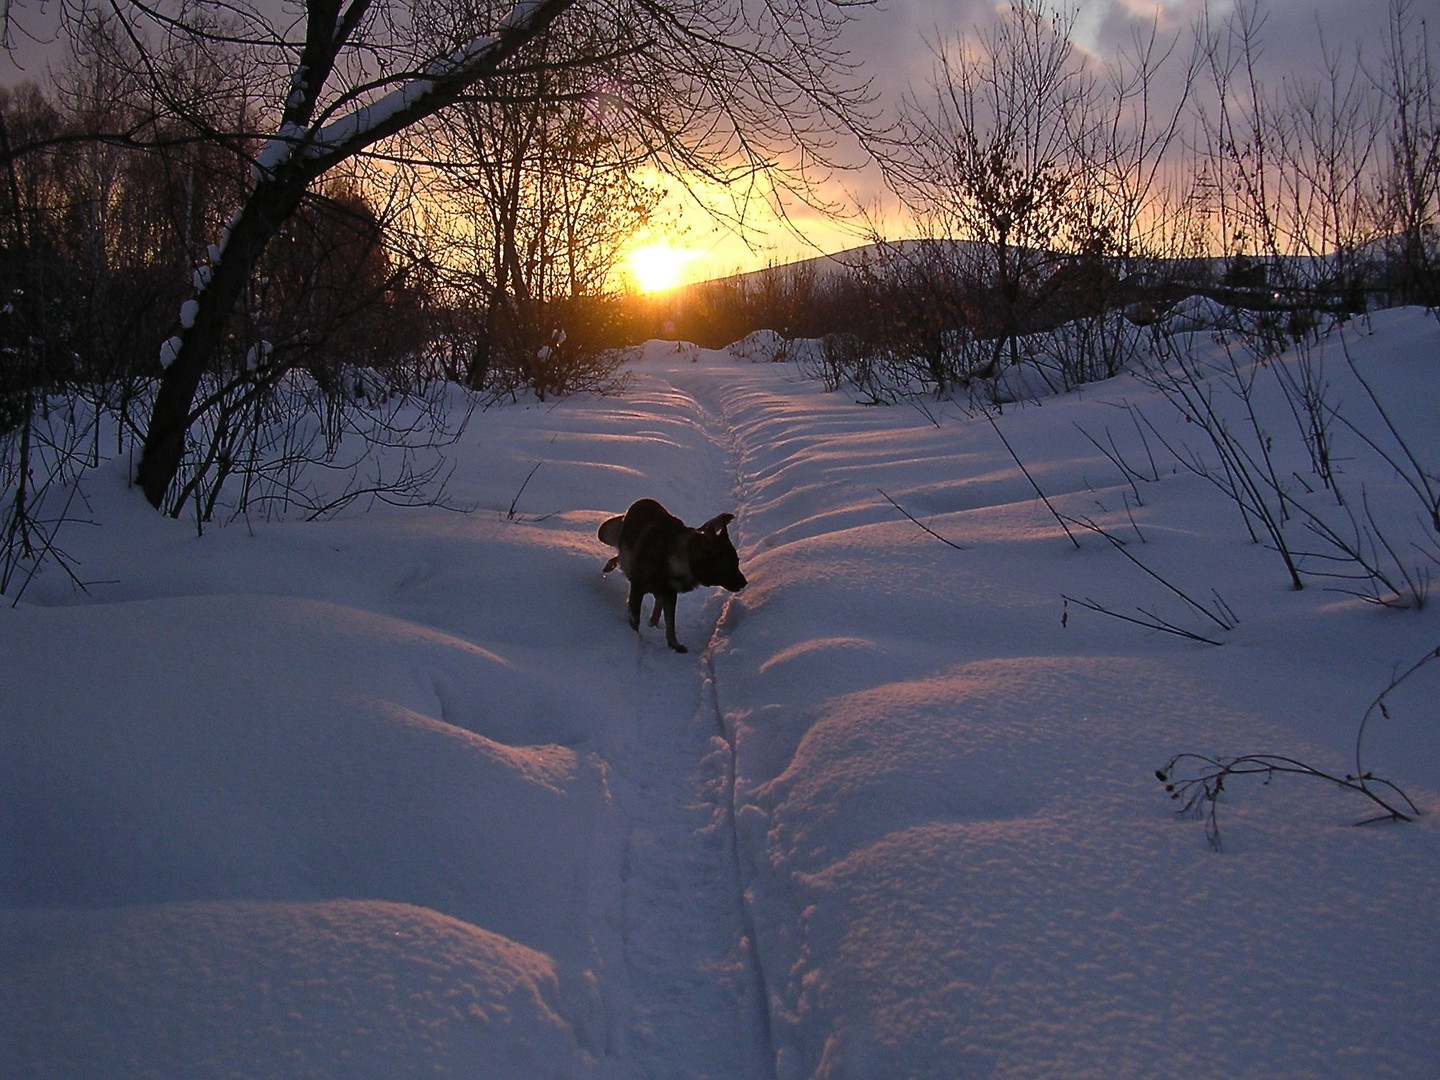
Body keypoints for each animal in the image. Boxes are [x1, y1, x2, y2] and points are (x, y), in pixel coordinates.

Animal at [599, 498, 748, 650]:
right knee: (620, 554)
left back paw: (653, 622)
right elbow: (635, 619)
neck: (677, 557)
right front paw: (634, 639)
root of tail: (643, 500)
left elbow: (670, 623)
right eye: (728, 566)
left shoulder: (670, 594)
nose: (745, 583)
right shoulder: (638, 589)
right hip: (605, 534)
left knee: (657, 600)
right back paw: (611, 564)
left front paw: (674, 645)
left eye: (737, 562)